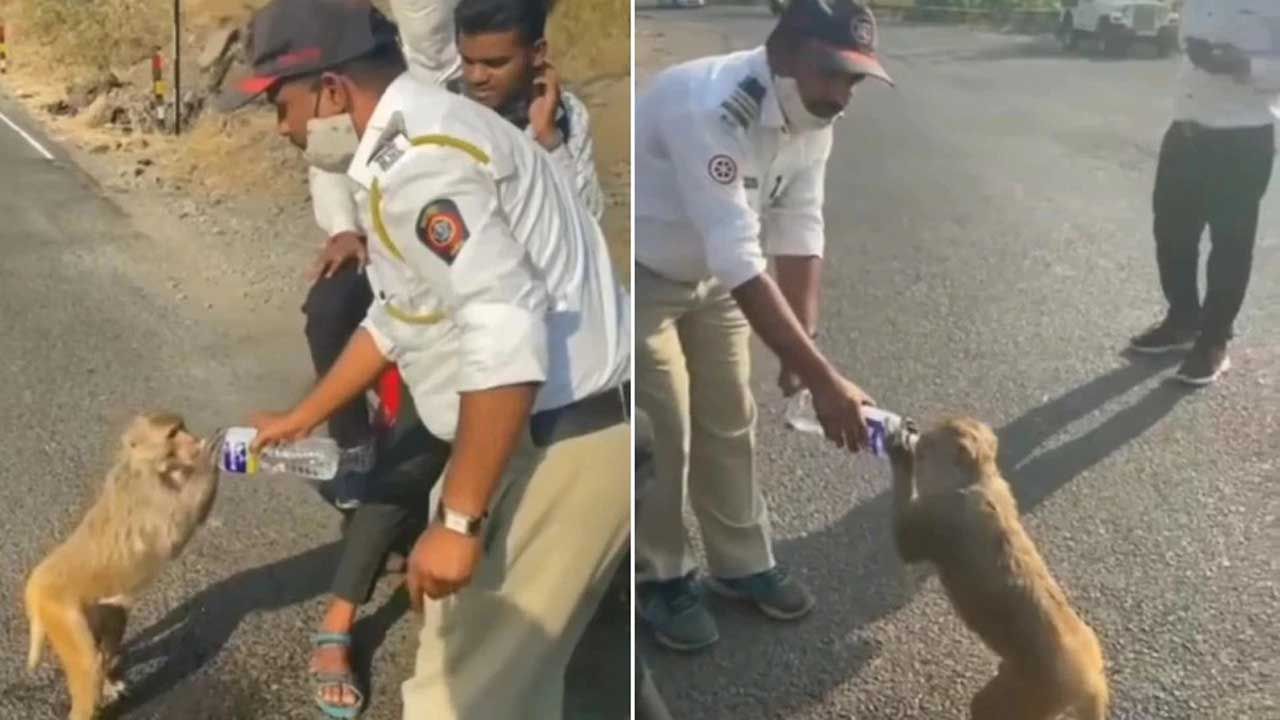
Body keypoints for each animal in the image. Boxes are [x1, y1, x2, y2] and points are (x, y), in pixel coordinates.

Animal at [24, 409, 220, 717]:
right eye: (173, 433)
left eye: (183, 427)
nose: (192, 439)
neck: (148, 467)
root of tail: (35, 582)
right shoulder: (151, 495)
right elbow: (177, 533)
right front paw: (208, 458)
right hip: (59, 610)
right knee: (88, 665)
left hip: (95, 604)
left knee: (113, 628)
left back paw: (109, 677)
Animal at [890, 415, 1111, 717]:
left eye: (930, 439)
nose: (914, 429)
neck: (977, 479)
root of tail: (1091, 678)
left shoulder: (942, 515)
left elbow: (906, 544)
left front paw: (901, 454)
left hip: (1029, 694)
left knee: (986, 706)